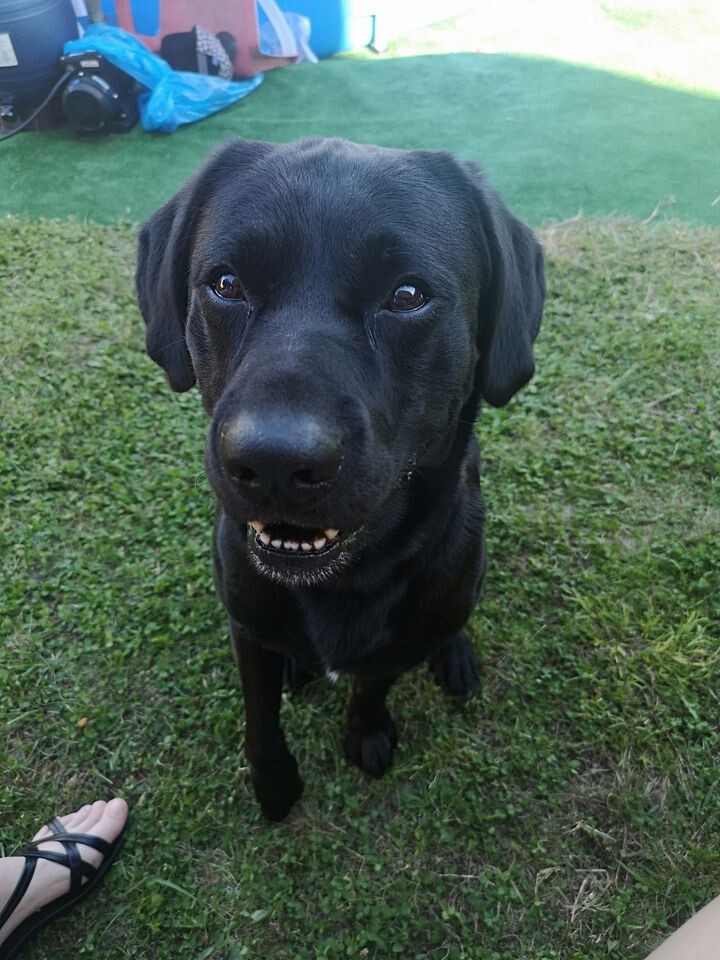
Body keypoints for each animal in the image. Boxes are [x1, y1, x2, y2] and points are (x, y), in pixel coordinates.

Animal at [136, 137, 544, 820]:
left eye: (407, 295)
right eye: (226, 284)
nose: (274, 462)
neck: (341, 583)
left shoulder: (394, 644)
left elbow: (371, 687)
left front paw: (367, 733)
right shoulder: (245, 626)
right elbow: (259, 715)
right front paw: (275, 782)